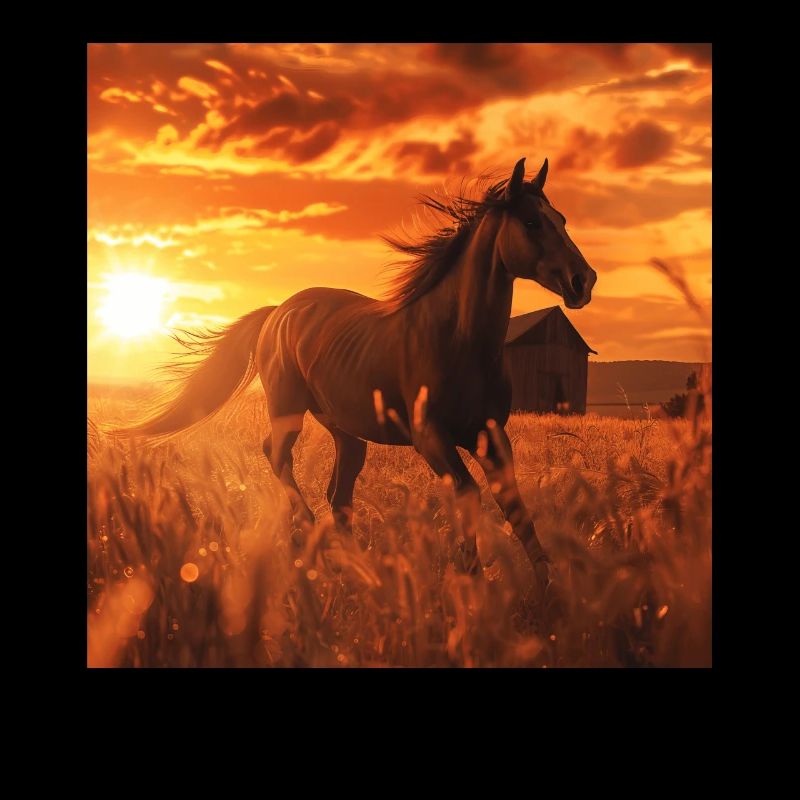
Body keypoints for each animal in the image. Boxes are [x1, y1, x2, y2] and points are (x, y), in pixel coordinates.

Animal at [121, 157, 597, 591]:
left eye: (561, 219)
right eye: (532, 222)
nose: (584, 281)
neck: (457, 339)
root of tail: (278, 312)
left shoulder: (492, 436)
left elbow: (515, 505)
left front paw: (548, 588)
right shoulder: (430, 436)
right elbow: (468, 494)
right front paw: (471, 581)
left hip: (347, 433)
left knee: (339, 496)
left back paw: (353, 567)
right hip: (288, 411)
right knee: (277, 456)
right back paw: (310, 535)